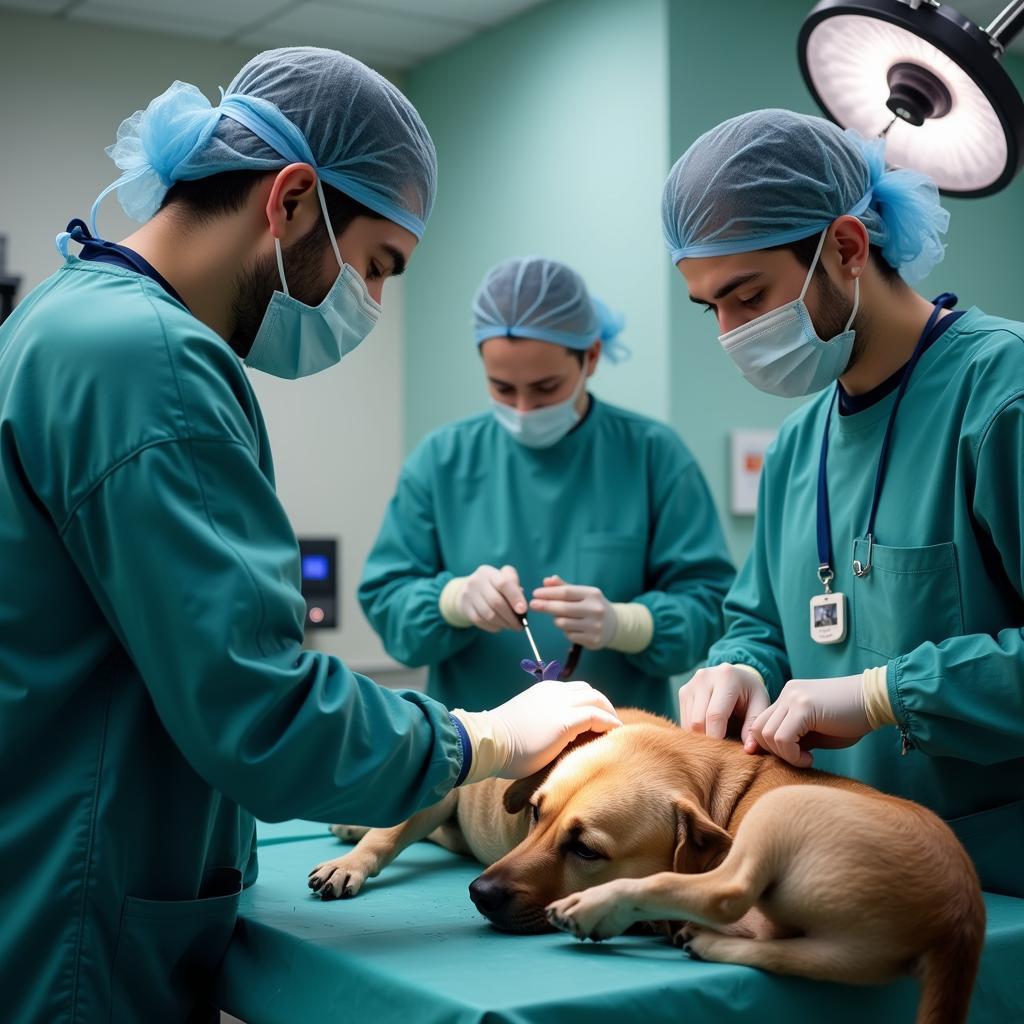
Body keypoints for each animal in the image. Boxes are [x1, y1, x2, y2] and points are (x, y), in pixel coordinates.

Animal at [309, 712, 983, 1024]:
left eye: (586, 850)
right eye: (535, 813)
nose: (480, 892)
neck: (708, 782)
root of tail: (962, 913)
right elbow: (390, 832)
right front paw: (354, 850)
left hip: (784, 828)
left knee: (721, 896)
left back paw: (619, 914)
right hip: (842, 955)